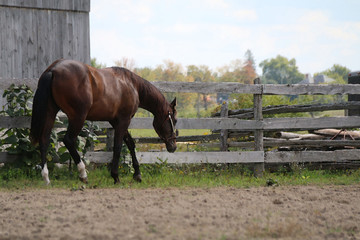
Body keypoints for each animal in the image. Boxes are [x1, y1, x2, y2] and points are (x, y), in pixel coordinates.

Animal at [30, 59, 177, 185]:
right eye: (174, 120)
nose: (173, 147)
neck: (132, 85)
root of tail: (53, 69)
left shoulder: (115, 121)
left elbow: (130, 144)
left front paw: (137, 175)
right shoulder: (124, 120)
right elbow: (118, 147)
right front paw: (115, 176)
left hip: (50, 113)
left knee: (44, 140)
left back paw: (46, 178)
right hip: (78, 117)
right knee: (69, 140)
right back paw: (83, 174)